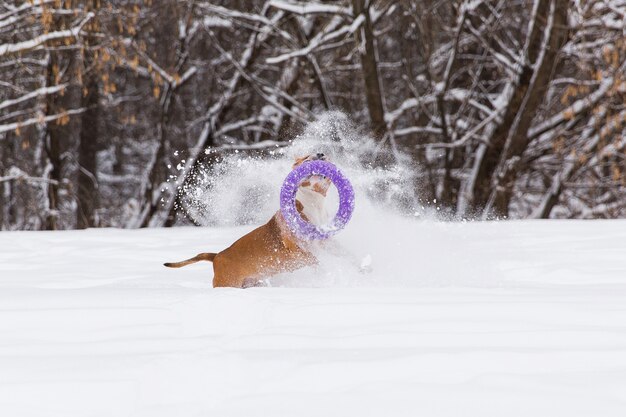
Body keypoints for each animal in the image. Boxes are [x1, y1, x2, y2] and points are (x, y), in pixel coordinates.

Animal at [165, 154, 332, 288]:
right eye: (306, 158)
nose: (320, 154)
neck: (313, 202)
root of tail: (217, 257)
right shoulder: (295, 249)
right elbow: (314, 259)